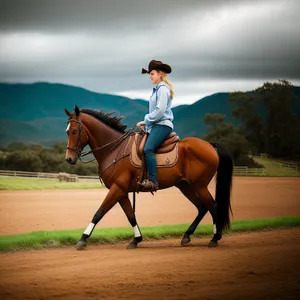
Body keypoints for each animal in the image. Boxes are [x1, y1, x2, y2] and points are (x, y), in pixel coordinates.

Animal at [64, 106, 233, 250]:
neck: (114, 148)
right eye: (67, 132)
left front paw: (83, 239)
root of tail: (209, 145)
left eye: (74, 131)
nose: (69, 159)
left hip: (200, 186)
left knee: (213, 207)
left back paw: (215, 238)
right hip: (185, 186)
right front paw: (136, 239)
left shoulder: (117, 188)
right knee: (202, 207)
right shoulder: (121, 191)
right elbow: (130, 216)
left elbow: (99, 213)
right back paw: (187, 236)